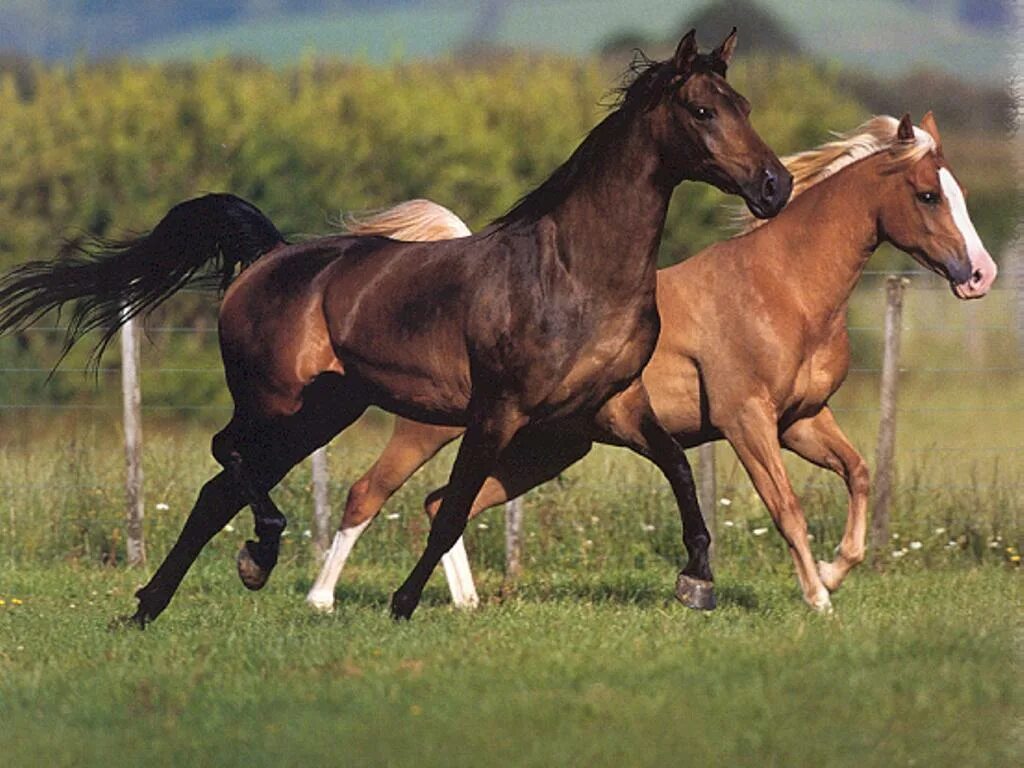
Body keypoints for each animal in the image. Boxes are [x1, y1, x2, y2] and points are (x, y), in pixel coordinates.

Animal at [0, 30, 790, 626]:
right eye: (701, 109)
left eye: (745, 104)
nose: (774, 185)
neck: (575, 272)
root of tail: (271, 257)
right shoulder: (499, 411)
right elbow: (452, 510)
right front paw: (403, 603)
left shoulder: (613, 405)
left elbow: (681, 469)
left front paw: (697, 579)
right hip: (273, 400)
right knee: (228, 454)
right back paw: (257, 555)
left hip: (324, 410)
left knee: (216, 490)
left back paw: (155, 604)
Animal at [303, 111, 991, 614]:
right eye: (928, 195)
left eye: (959, 192)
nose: (980, 275)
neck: (782, 287)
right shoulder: (747, 420)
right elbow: (787, 507)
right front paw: (817, 599)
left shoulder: (801, 420)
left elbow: (859, 474)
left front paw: (832, 570)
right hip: (436, 431)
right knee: (370, 494)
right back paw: (322, 600)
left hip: (543, 448)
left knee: (441, 502)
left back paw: (466, 603)